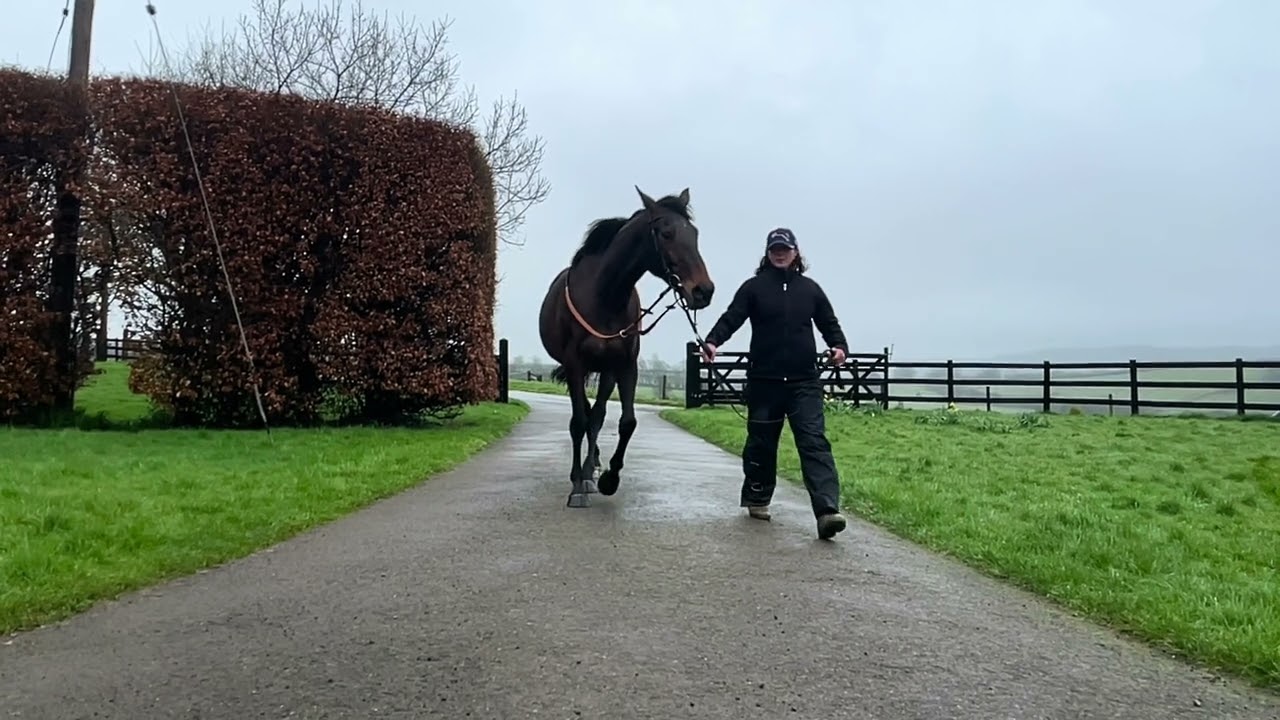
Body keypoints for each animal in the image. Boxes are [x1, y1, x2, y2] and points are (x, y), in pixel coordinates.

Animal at [538, 186, 715, 508]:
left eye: (694, 233)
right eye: (666, 233)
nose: (703, 290)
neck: (604, 296)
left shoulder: (625, 366)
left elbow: (626, 422)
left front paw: (609, 478)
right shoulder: (575, 364)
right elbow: (578, 421)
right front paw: (576, 487)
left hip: (606, 372)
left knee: (597, 416)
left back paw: (591, 470)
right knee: (586, 415)